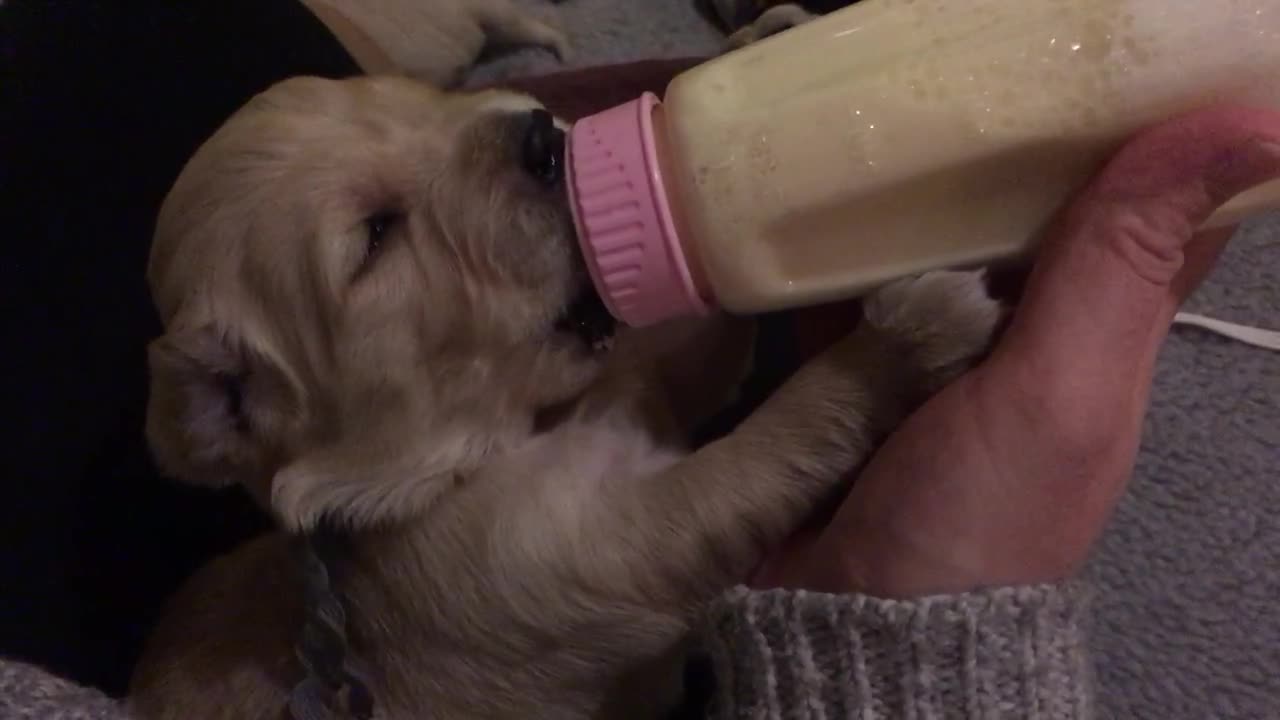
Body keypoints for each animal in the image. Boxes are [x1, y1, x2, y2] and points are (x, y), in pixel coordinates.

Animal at [132, 74, 1008, 717]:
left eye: (419, 95)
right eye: (376, 237)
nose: (541, 136)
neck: (531, 423)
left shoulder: (654, 382)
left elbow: (698, 329)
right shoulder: (609, 547)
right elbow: (771, 442)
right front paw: (901, 338)